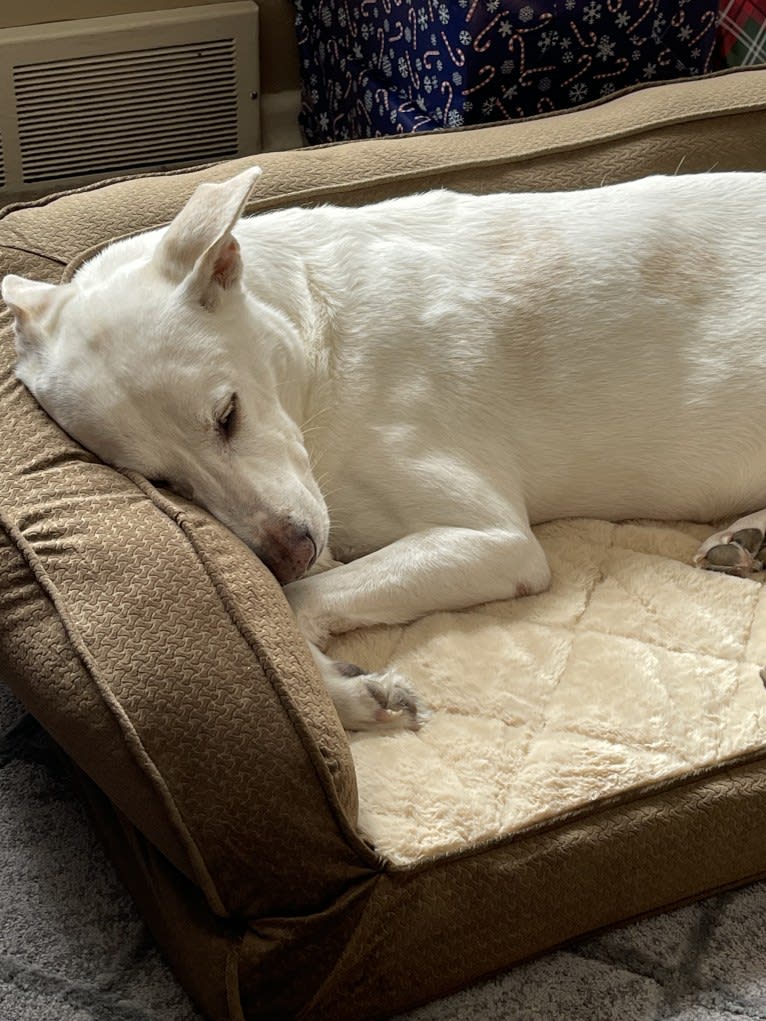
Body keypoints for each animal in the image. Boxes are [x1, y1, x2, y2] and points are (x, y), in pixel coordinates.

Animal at [1, 171, 766, 735]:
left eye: (227, 414)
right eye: (163, 482)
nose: (287, 552)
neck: (314, 342)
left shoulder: (494, 541)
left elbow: (303, 597)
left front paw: (334, 681)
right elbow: (297, 599)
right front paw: (343, 690)